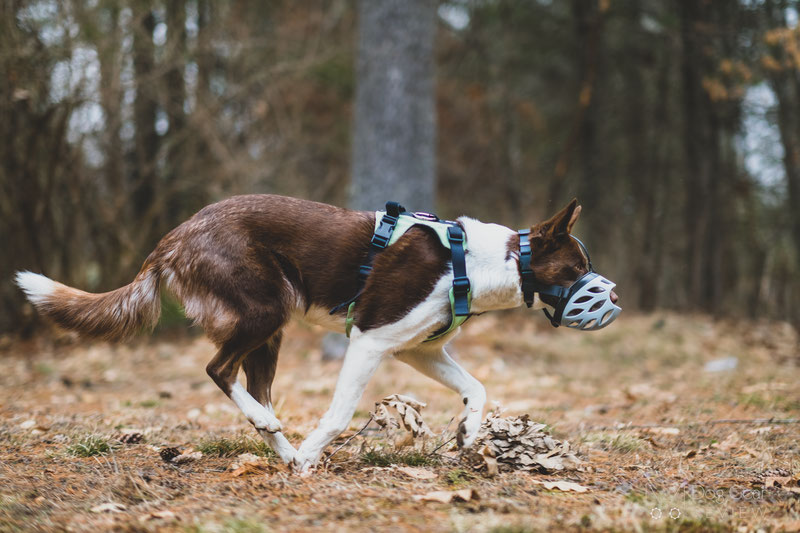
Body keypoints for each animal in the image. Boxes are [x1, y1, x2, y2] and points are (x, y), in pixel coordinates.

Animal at [17, 193, 620, 472]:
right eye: (575, 269)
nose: (613, 297)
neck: (476, 263)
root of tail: (172, 237)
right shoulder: (371, 340)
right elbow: (338, 413)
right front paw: (314, 453)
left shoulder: (417, 351)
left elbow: (478, 387)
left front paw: (470, 434)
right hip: (268, 310)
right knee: (218, 369)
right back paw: (288, 447)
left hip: (270, 330)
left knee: (252, 387)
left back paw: (282, 450)